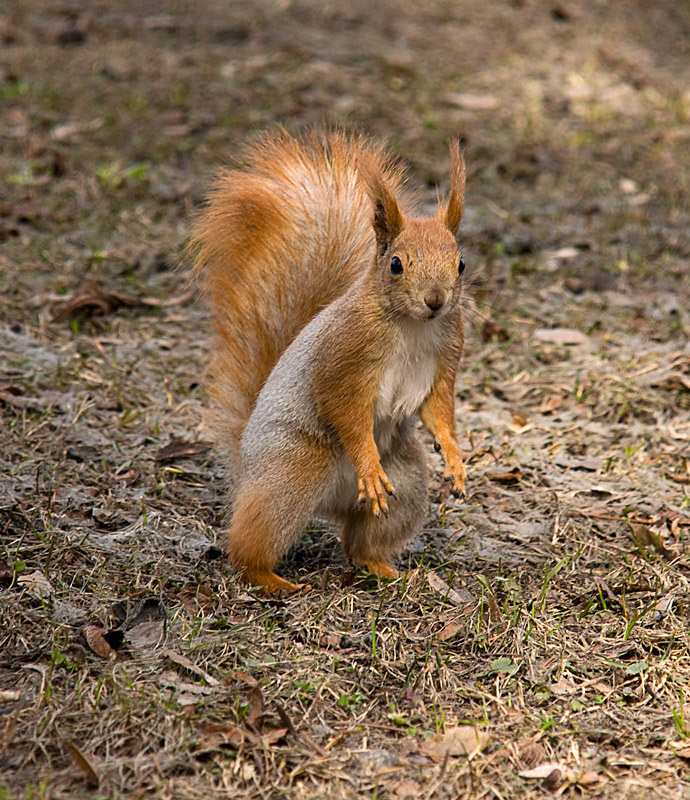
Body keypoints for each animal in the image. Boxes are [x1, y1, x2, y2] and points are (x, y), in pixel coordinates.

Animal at [191, 131, 464, 592]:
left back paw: (385, 568)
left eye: (461, 263)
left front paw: (456, 458)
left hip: (405, 485)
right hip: (297, 466)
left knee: (361, 542)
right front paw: (368, 464)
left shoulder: (446, 357)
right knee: (249, 541)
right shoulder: (344, 357)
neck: (412, 326)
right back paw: (270, 578)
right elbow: (344, 408)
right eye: (396, 264)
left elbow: (438, 410)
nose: (435, 300)